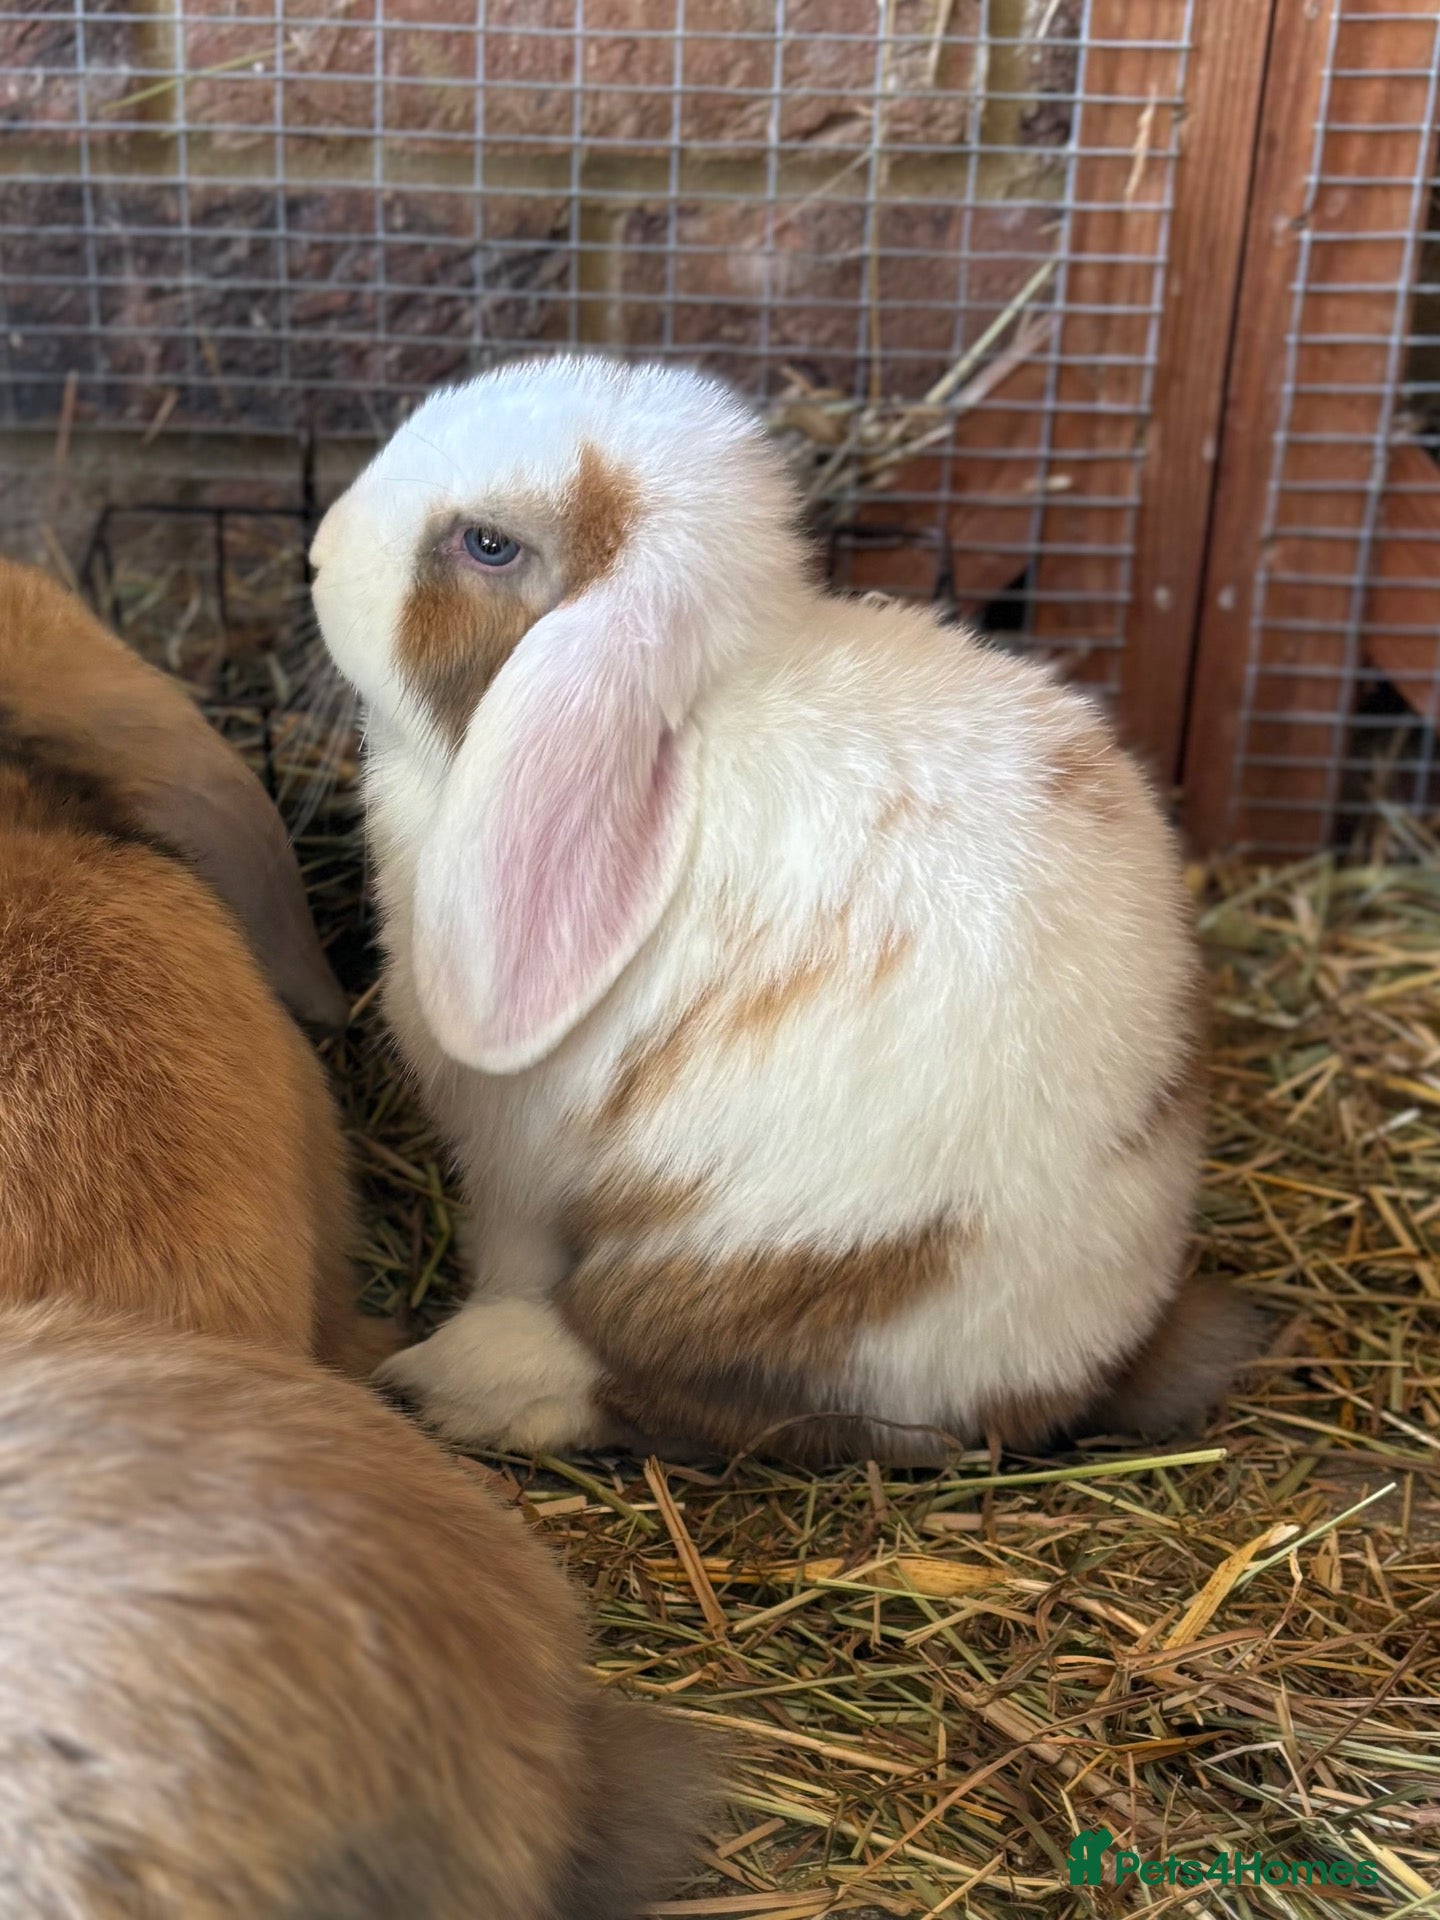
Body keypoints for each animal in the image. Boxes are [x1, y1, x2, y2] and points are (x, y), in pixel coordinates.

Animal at [310, 354, 1262, 1464]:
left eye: (489, 545)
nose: (319, 554)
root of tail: (1087, 1365)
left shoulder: (513, 1162)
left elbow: (514, 1247)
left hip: (760, 1272)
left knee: (667, 1383)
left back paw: (463, 1378)